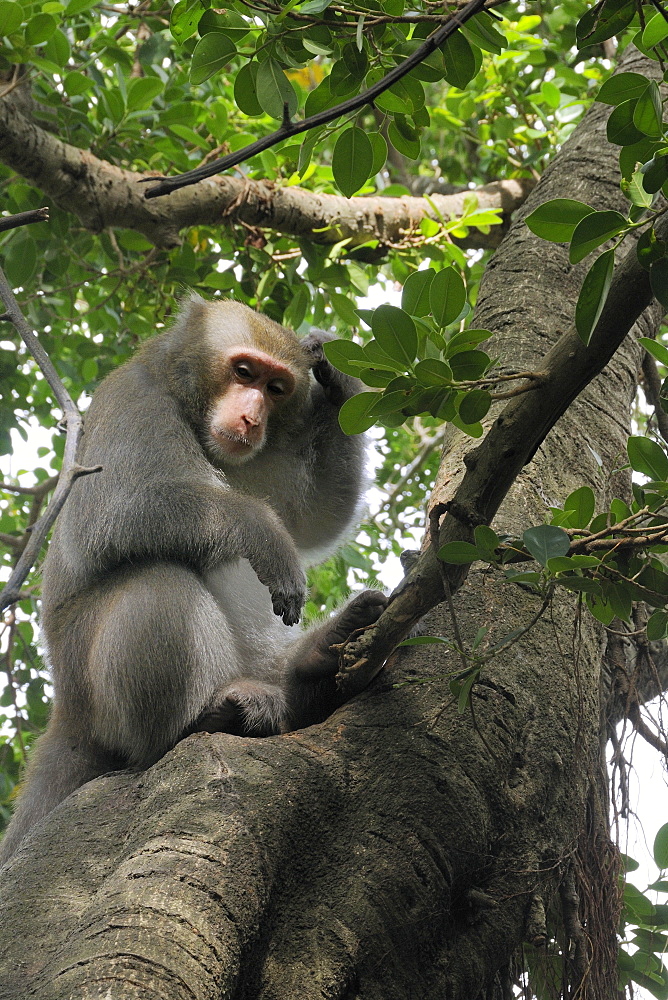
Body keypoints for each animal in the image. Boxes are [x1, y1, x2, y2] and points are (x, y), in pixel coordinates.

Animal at [0, 294, 386, 860]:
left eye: (275, 388)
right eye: (243, 371)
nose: (250, 417)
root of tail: (66, 711)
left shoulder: (259, 454)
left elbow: (314, 518)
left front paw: (336, 371)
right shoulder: (134, 402)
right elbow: (112, 514)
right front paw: (261, 530)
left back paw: (308, 668)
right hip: (88, 679)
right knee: (158, 578)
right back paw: (192, 722)